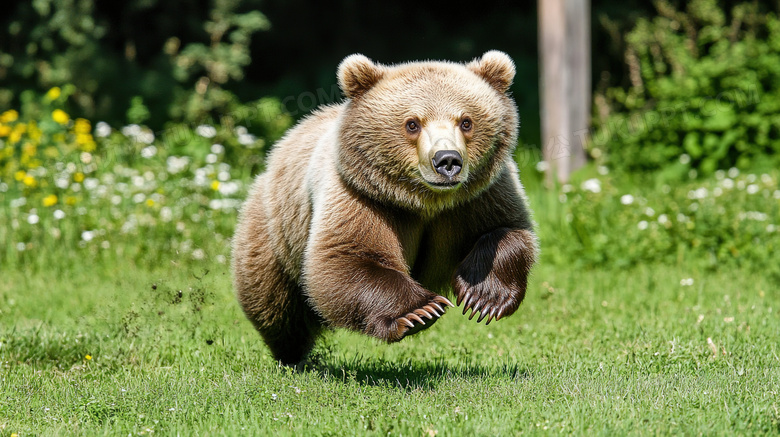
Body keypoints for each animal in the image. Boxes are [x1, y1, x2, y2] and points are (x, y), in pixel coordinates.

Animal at [230, 51, 536, 364]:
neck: (426, 201)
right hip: (277, 232)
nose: (447, 161)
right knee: (276, 305)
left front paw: (484, 297)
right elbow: (347, 257)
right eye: (412, 123)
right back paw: (291, 355)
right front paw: (421, 311)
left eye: (466, 121)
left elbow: (509, 231)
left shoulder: (479, 198)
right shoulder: (362, 196)